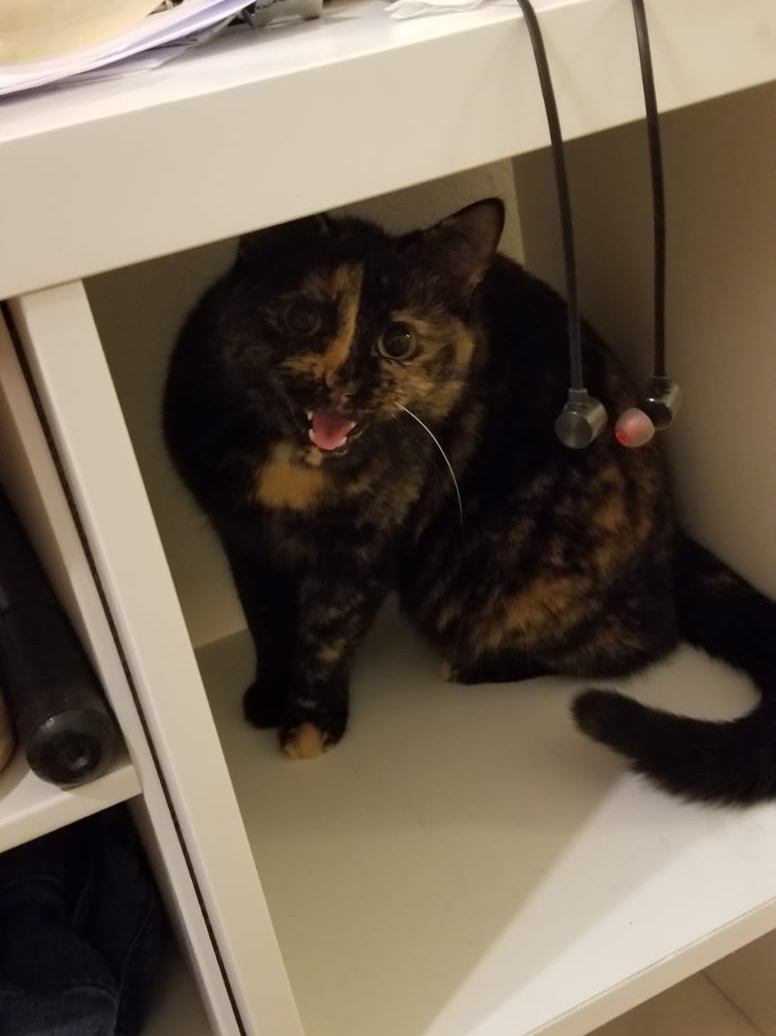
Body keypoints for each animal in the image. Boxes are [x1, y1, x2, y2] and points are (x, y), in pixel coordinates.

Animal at [163, 198, 776, 804]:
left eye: (399, 342)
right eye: (302, 318)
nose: (344, 382)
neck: (299, 466)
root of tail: (671, 535)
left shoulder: (363, 551)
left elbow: (328, 634)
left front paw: (311, 724)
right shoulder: (242, 539)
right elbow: (265, 619)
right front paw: (269, 694)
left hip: (487, 575)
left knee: (642, 637)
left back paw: (471, 666)